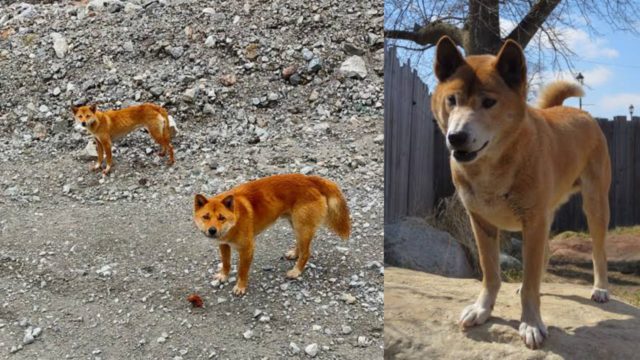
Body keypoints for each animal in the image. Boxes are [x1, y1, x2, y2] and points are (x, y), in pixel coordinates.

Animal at [192, 174, 352, 296]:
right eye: (206, 217)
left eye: (221, 218)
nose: (212, 230)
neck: (235, 219)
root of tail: (310, 179)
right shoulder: (224, 244)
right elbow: (226, 263)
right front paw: (223, 276)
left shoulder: (247, 249)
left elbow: (242, 271)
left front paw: (240, 286)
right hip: (296, 225)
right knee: (301, 246)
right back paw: (294, 254)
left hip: (303, 227)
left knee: (306, 253)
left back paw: (296, 271)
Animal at [432, 36, 612, 348]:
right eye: (452, 100)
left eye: (489, 102)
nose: (456, 137)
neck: (491, 167)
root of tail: (580, 111)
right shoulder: (481, 222)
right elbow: (491, 272)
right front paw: (482, 309)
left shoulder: (533, 220)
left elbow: (529, 283)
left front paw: (531, 323)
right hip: (547, 214)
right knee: (545, 254)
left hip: (595, 205)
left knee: (598, 251)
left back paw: (600, 288)